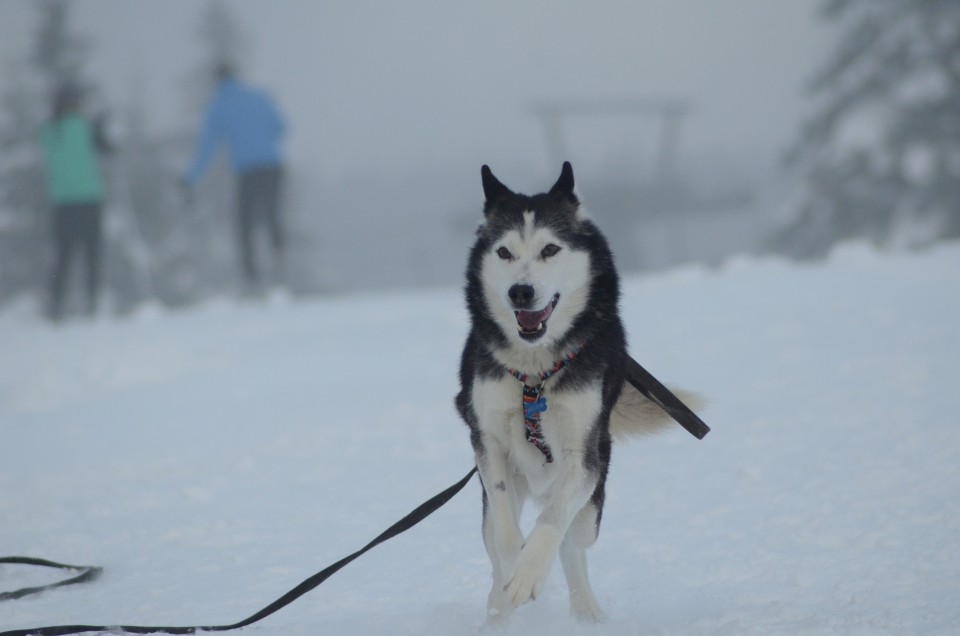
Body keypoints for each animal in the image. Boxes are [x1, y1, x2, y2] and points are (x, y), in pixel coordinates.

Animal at [454, 163, 692, 620]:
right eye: (504, 253)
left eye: (550, 249)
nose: (520, 292)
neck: (534, 375)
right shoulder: (487, 441)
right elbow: (505, 534)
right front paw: (510, 580)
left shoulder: (584, 455)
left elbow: (554, 520)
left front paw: (528, 574)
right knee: (496, 535)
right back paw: (498, 609)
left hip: (592, 500)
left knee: (572, 539)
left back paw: (586, 612)